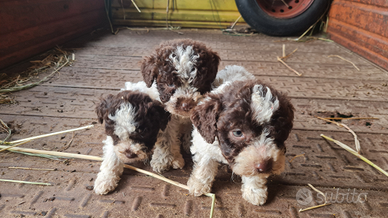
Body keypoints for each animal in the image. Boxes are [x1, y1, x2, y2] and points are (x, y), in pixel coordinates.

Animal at [140, 38, 220, 172]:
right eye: (170, 84)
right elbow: (165, 138)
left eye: (199, 82)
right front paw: (164, 160)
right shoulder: (163, 115)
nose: (186, 104)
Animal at [188, 77, 294, 205]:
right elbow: (204, 164)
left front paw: (255, 191)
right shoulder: (204, 143)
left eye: (278, 131)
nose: (265, 166)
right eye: (238, 133)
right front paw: (198, 184)